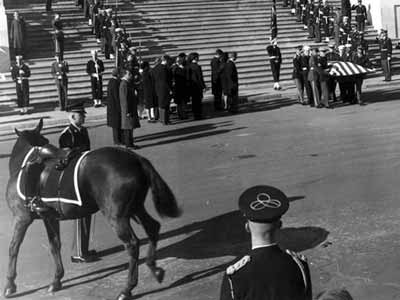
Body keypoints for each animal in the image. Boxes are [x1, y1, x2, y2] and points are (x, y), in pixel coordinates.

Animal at [2, 119, 181, 300]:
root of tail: (136, 159)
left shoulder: (21, 218)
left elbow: (13, 247)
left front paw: (10, 285)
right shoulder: (50, 218)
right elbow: (54, 245)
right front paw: (57, 280)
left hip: (116, 216)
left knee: (132, 244)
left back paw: (127, 289)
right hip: (135, 208)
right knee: (152, 227)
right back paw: (154, 268)